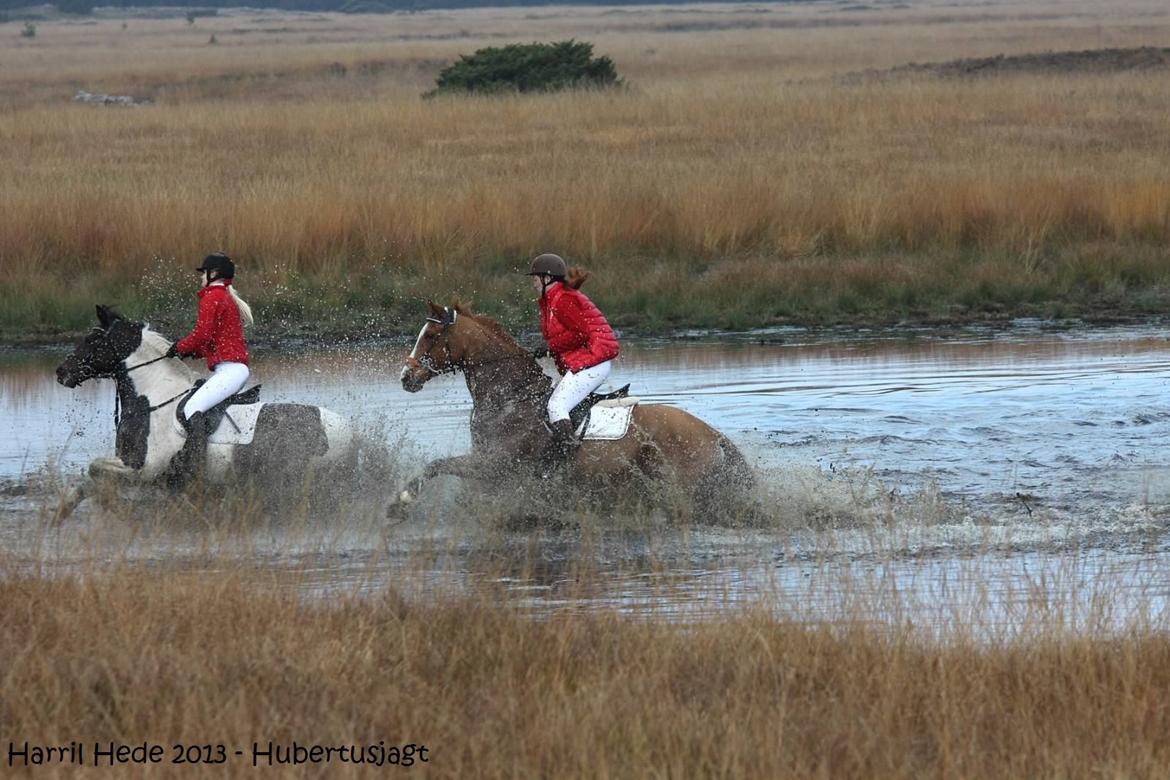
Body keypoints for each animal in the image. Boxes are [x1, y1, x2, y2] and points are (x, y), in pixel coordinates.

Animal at [52, 304, 351, 519]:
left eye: (93, 340)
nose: (61, 372)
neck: (153, 399)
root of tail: (352, 431)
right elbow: (92, 478)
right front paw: (64, 511)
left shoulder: (146, 469)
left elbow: (95, 468)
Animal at [397, 301, 753, 519]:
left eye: (430, 335)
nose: (406, 378)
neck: (511, 398)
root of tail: (712, 433)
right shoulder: (490, 469)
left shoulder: (495, 465)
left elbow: (436, 465)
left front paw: (400, 502)